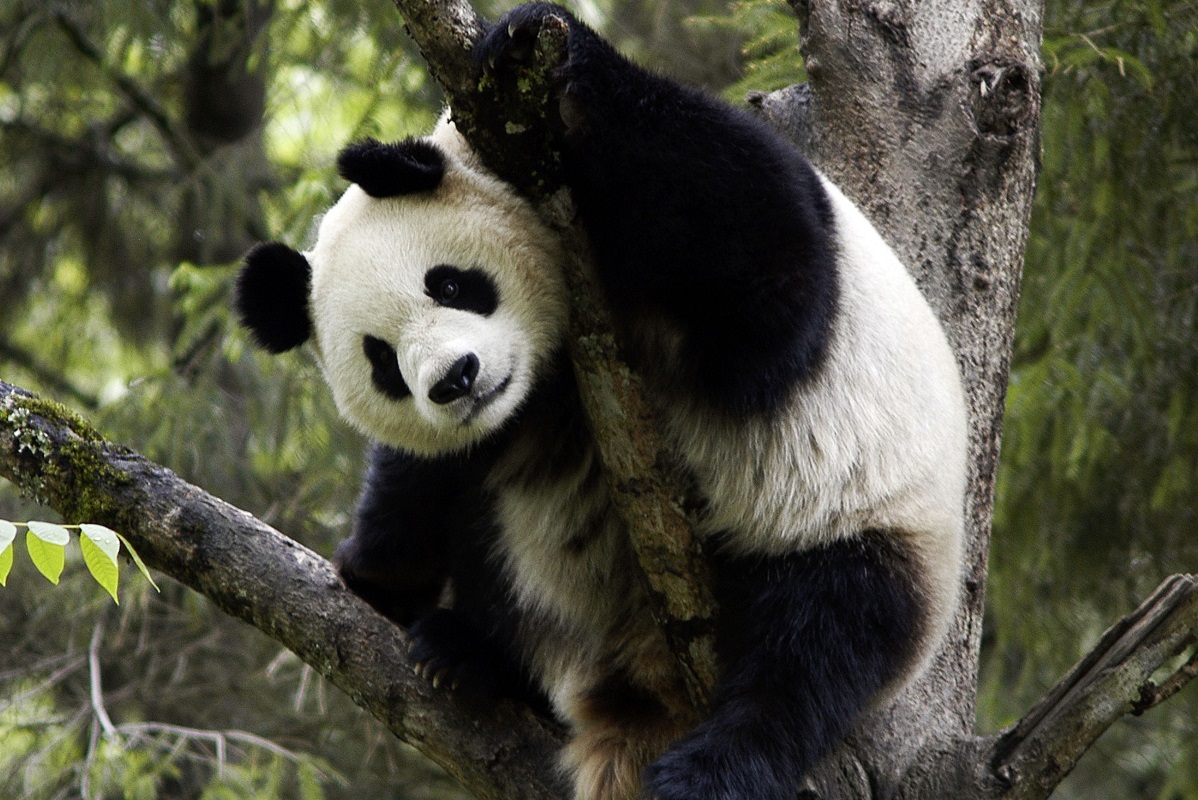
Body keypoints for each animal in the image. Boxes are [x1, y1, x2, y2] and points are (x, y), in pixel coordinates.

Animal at [234, 4, 969, 800]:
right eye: (383, 363)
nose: (456, 379)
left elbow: (771, 283)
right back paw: (470, 658)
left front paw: (532, 45)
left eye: (451, 283)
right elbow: (422, 475)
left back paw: (711, 768)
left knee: (821, 644)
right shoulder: (497, 420)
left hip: (862, 518)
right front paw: (377, 574)